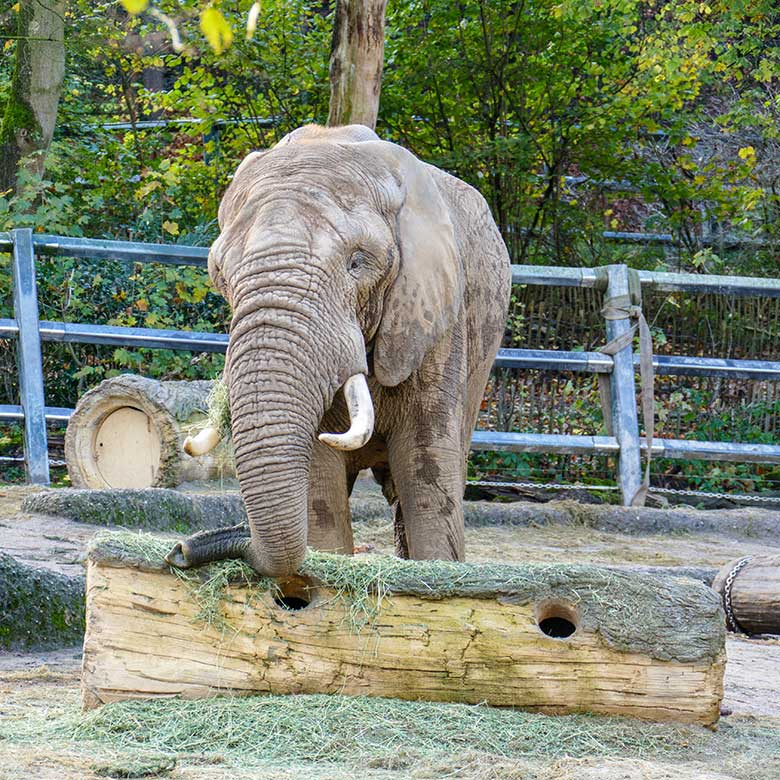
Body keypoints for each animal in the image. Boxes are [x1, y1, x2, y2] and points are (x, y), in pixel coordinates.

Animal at [166, 125, 512, 580]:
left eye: (357, 263)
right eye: (220, 273)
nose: (181, 549)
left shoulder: (434, 317)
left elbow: (428, 469)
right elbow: (320, 487)